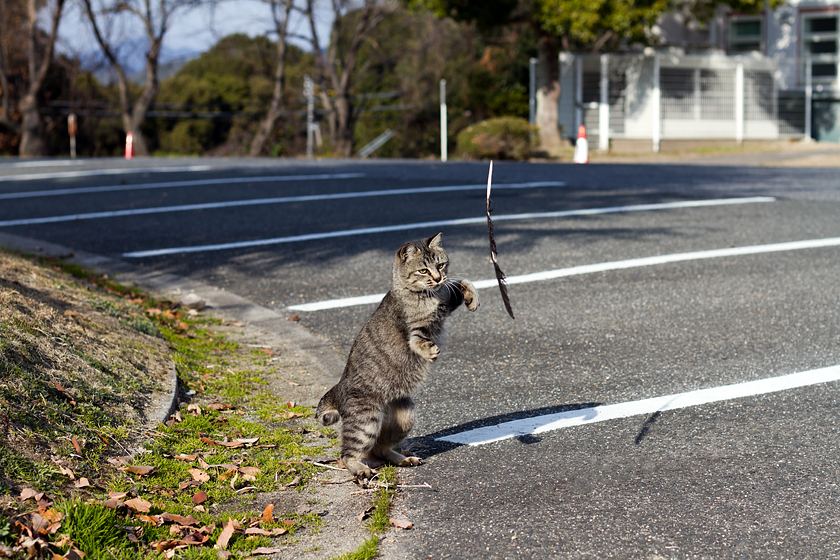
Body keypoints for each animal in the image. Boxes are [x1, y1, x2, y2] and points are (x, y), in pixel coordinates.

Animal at [316, 231, 480, 476]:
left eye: (441, 265)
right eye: (423, 270)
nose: (438, 278)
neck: (429, 295)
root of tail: (338, 387)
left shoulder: (445, 302)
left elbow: (463, 282)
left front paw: (472, 297)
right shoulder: (415, 329)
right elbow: (417, 341)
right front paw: (429, 351)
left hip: (405, 416)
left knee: (380, 449)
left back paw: (404, 459)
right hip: (367, 422)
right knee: (347, 454)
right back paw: (361, 469)